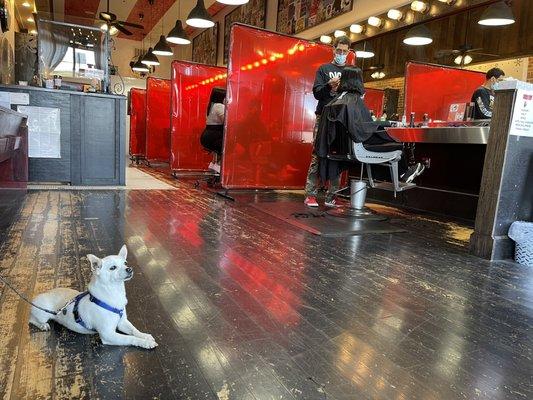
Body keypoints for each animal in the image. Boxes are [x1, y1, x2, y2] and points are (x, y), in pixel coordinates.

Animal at [29, 244, 157, 350]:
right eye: (113, 268)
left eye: (125, 263)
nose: (129, 269)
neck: (114, 293)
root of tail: (39, 295)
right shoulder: (108, 334)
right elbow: (129, 338)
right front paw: (145, 343)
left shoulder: (122, 322)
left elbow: (134, 330)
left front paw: (145, 336)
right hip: (43, 314)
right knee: (32, 320)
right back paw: (43, 325)